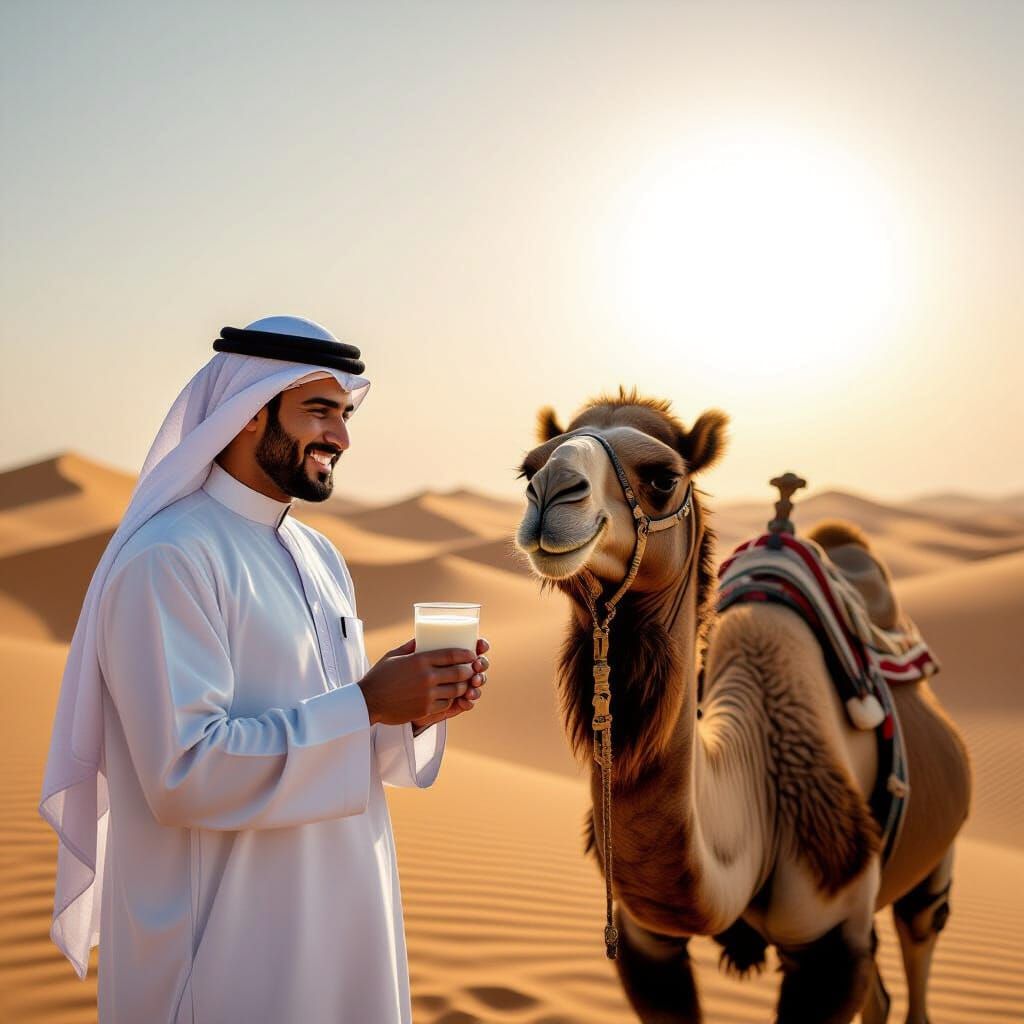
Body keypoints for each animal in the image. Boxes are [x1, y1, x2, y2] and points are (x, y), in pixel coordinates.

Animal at [514, 390, 971, 1024]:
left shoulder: (830, 942)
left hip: (934, 865)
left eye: (663, 477)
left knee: (921, 940)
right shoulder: (648, 943)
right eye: (528, 469)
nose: (552, 493)